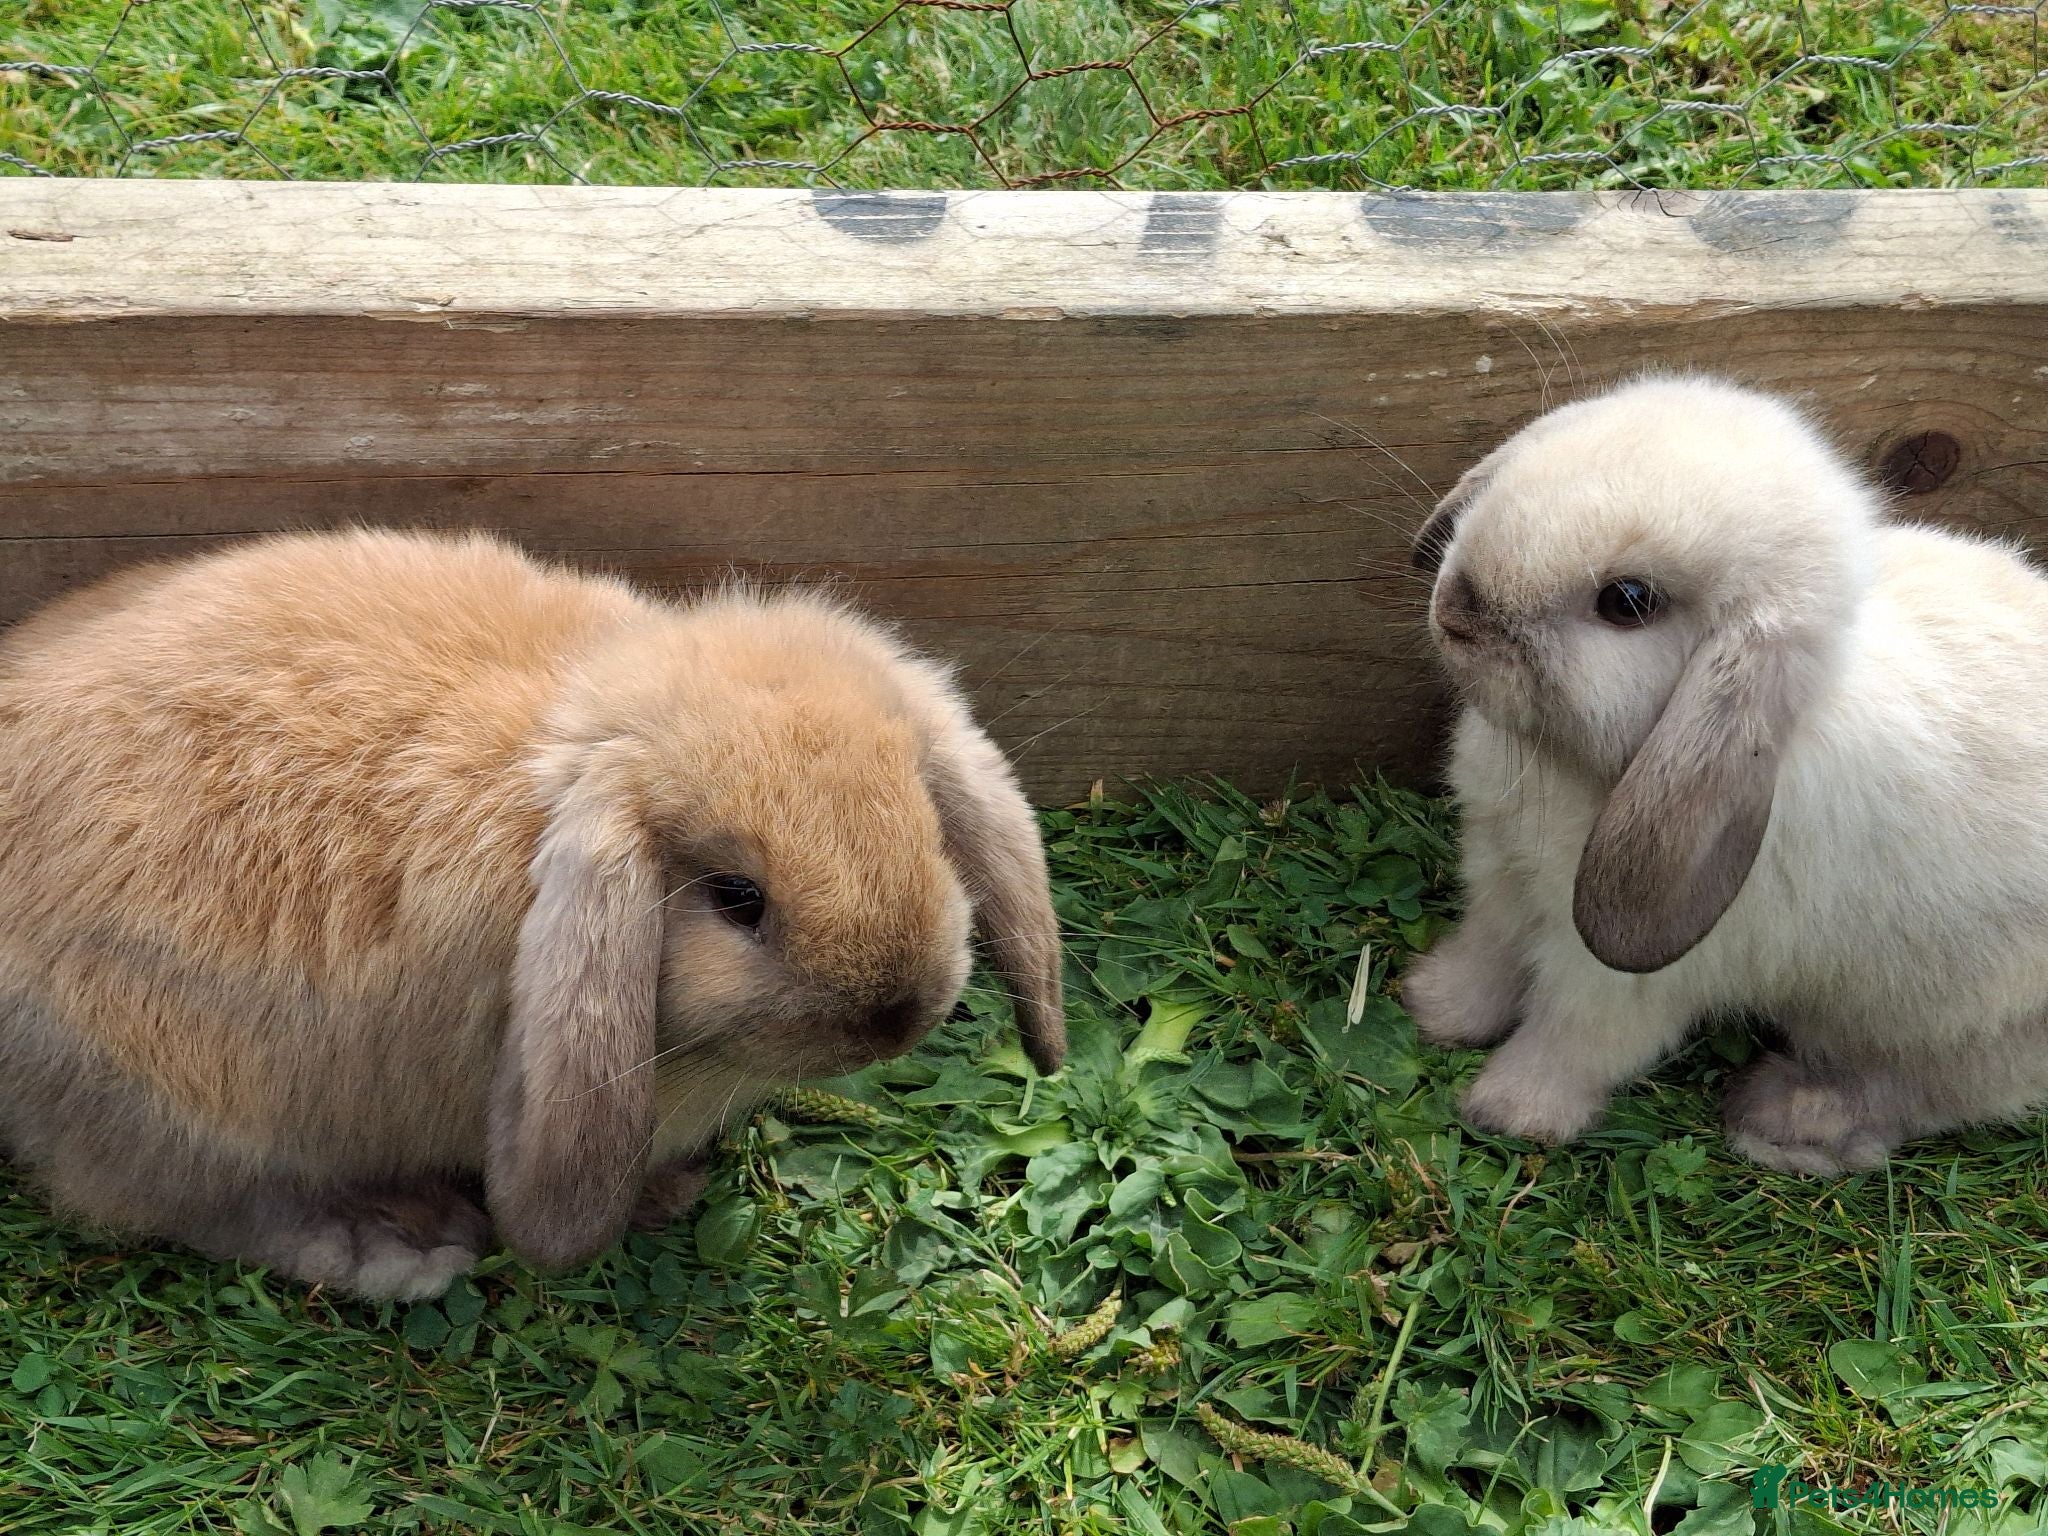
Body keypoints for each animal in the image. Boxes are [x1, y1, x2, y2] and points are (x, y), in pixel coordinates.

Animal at [0, 529, 1065, 1300]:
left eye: (925, 828)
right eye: (737, 898)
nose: (896, 1016)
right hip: (172, 1089)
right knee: (192, 1200)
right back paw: (396, 1246)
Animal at [1401, 373, 2048, 1174]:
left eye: (1629, 602)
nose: (1457, 609)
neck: (1570, 768)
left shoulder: (1622, 979)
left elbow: (1572, 1041)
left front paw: (1511, 1113)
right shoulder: (1501, 884)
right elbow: (1486, 959)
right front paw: (1433, 1007)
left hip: (1956, 1024)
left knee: (1933, 1091)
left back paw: (1792, 1117)